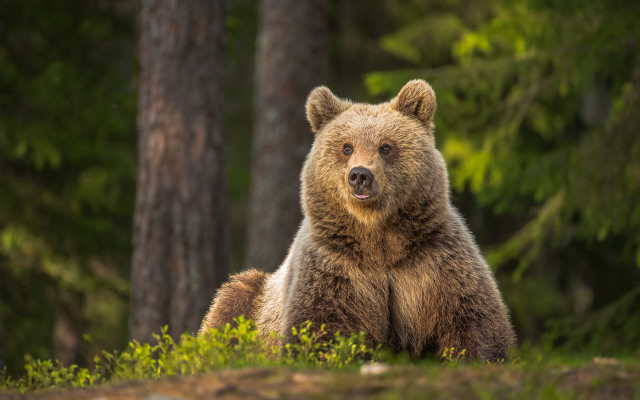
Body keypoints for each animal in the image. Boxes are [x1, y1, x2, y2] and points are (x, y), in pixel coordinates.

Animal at [200, 80, 516, 361]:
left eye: (386, 147)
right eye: (346, 147)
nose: (360, 175)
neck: (378, 240)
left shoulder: (435, 261)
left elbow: (473, 319)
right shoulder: (335, 268)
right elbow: (318, 328)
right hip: (256, 300)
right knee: (228, 306)